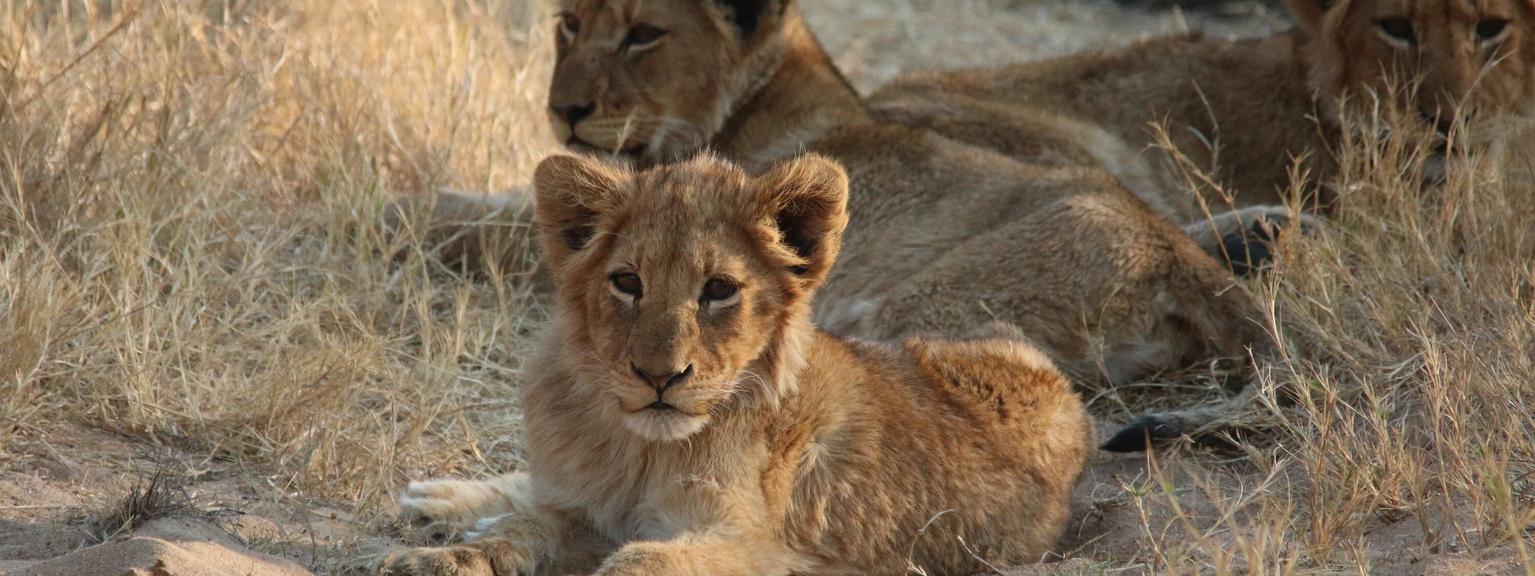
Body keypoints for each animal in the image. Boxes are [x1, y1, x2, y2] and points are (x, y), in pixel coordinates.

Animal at [377, 153, 1094, 576]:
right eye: (627, 282)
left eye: (718, 289)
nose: (659, 377)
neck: (641, 451)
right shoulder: (589, 509)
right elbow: (526, 524)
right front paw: (442, 555)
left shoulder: (764, 546)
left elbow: (636, 563)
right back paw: (435, 497)